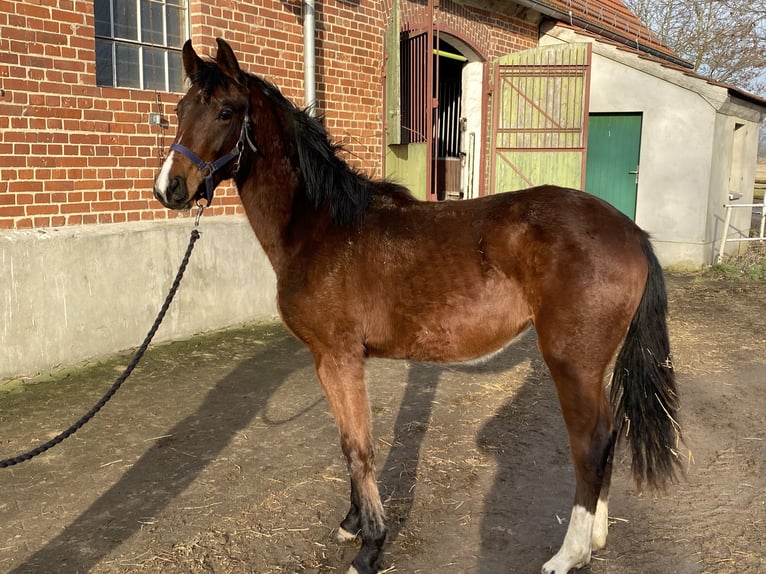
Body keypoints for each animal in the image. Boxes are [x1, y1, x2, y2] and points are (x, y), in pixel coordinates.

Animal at [153, 38, 682, 574]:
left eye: (225, 112)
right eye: (178, 110)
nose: (169, 188)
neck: (323, 226)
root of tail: (631, 232)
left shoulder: (339, 356)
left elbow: (359, 448)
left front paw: (370, 546)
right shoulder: (328, 360)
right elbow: (347, 445)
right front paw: (352, 524)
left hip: (572, 362)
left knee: (590, 444)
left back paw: (568, 554)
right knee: (610, 436)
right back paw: (595, 539)